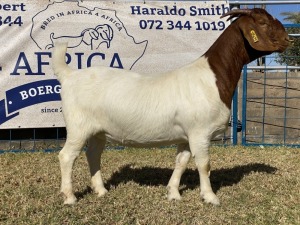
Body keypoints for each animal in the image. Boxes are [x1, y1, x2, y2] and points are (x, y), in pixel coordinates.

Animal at [52, 8, 290, 206]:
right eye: (262, 22)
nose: (288, 39)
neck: (212, 76)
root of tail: (69, 75)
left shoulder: (186, 134)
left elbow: (181, 162)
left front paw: (173, 193)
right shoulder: (200, 132)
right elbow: (204, 164)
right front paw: (210, 197)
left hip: (98, 130)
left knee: (93, 154)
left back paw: (101, 191)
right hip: (78, 126)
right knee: (67, 156)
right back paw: (70, 197)